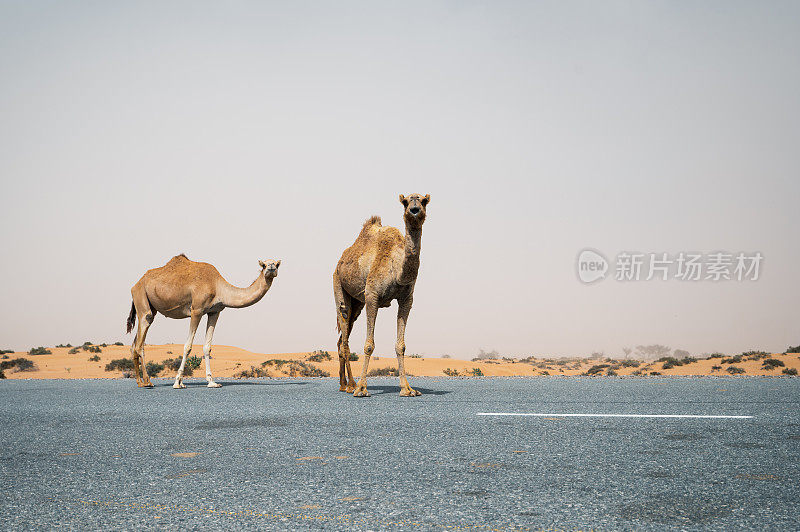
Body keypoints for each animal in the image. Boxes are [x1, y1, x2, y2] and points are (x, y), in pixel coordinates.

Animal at [122, 256, 278, 388]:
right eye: (264, 265)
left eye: (276, 264)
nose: (271, 268)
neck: (218, 286)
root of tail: (135, 284)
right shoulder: (196, 310)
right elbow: (188, 346)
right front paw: (178, 382)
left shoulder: (215, 311)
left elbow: (207, 347)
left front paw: (212, 382)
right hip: (141, 297)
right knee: (140, 342)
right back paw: (148, 382)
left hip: (150, 306)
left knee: (134, 345)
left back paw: (140, 382)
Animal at [332, 193, 432, 396]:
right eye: (405, 201)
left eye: (424, 200)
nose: (414, 210)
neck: (397, 269)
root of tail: (340, 262)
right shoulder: (372, 296)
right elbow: (369, 344)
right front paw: (362, 389)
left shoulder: (406, 300)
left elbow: (401, 345)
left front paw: (407, 389)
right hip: (338, 285)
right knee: (344, 339)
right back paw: (352, 385)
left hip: (358, 304)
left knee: (341, 341)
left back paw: (343, 384)